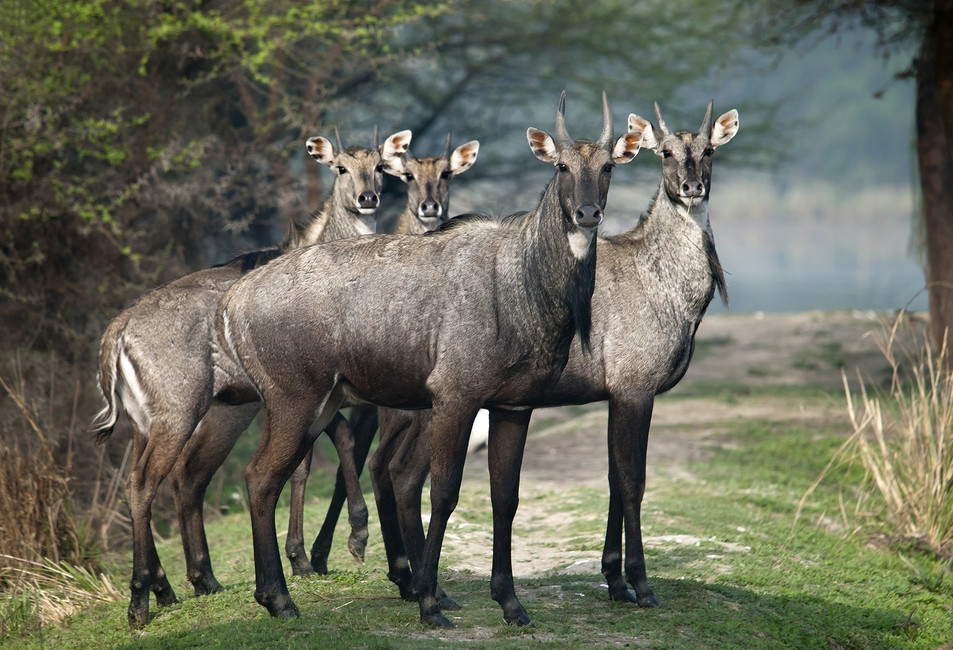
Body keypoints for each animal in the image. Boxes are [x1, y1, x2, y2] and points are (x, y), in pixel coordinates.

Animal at [90, 128, 412, 628]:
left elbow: (312, 458)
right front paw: (347, 539)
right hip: (184, 414)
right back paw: (143, 599)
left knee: (169, 479)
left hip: (160, 422)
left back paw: (183, 585)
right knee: (148, 483)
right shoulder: (300, 394)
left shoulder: (307, 397)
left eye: (379, 166)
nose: (368, 198)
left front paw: (304, 558)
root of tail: (117, 332)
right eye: (339, 167)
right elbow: (320, 453)